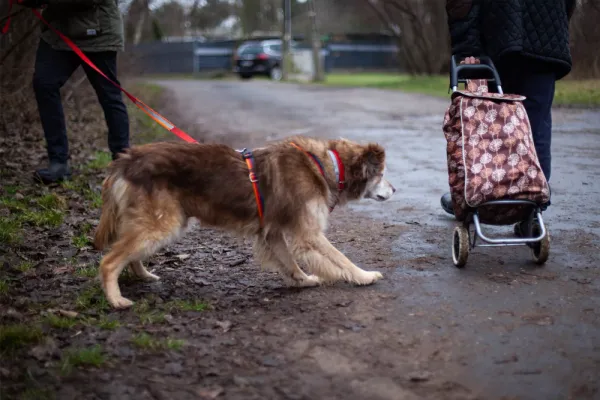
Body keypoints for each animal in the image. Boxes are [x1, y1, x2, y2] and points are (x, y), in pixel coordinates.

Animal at [94, 136, 396, 308]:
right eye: (381, 174)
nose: (395, 190)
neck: (328, 166)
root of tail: (125, 160)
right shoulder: (307, 233)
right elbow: (340, 258)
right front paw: (364, 276)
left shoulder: (273, 232)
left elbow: (289, 262)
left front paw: (303, 280)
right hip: (161, 224)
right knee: (109, 261)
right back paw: (116, 300)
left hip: (158, 224)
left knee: (130, 254)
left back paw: (143, 276)